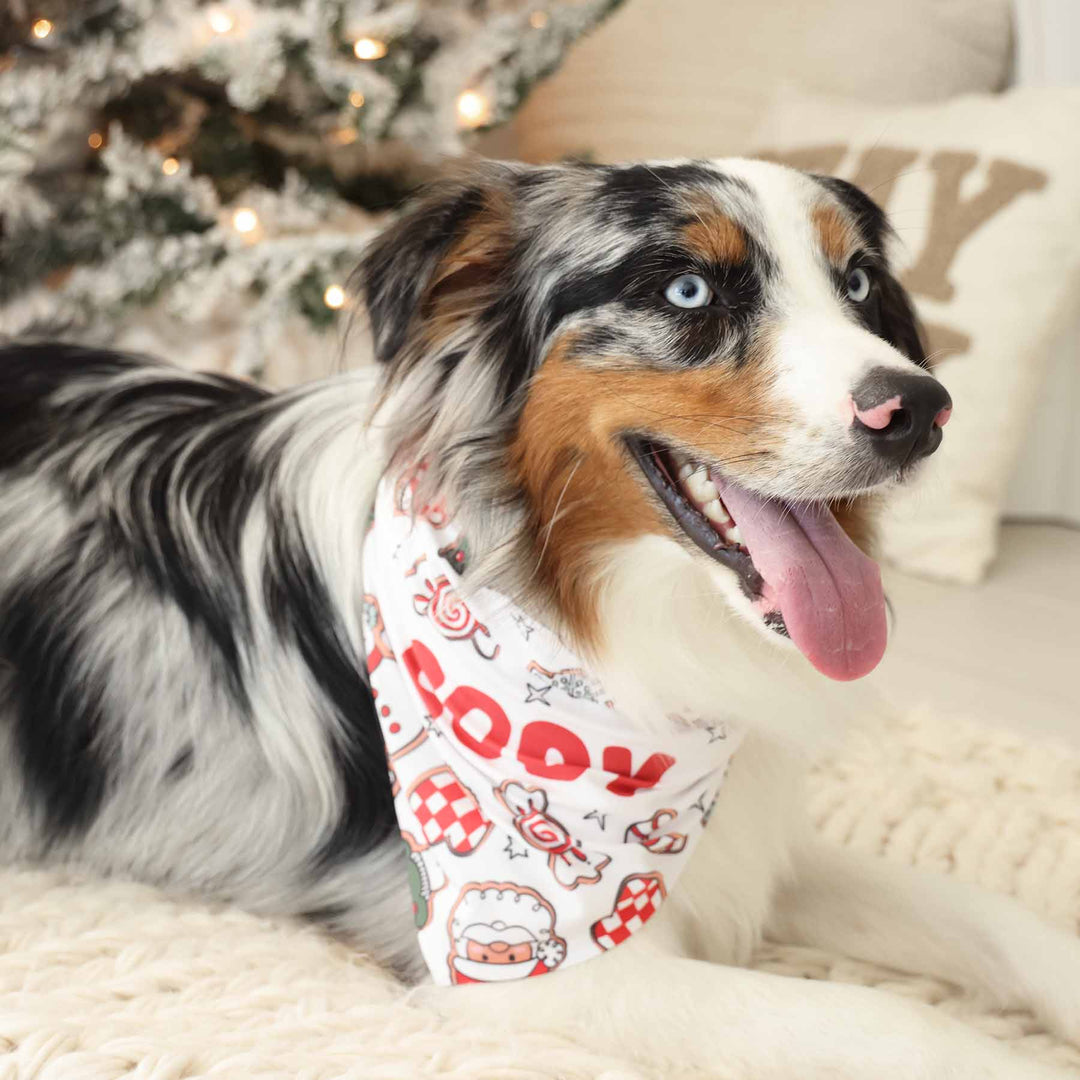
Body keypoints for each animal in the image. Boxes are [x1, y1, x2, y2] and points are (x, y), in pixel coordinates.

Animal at [0, 156, 1075, 1075]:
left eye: (855, 284)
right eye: (688, 292)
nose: (921, 410)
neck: (569, 612)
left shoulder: (742, 843)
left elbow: (987, 916)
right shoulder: (536, 967)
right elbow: (891, 1020)